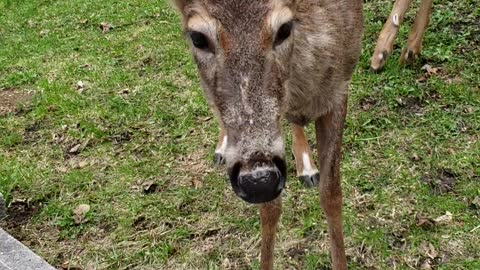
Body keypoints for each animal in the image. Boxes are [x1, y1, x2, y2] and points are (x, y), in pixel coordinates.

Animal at [171, 1, 362, 268]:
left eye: (284, 29)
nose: (259, 181)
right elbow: (270, 210)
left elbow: (332, 195)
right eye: (198, 38)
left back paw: (306, 167)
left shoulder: (339, 88)